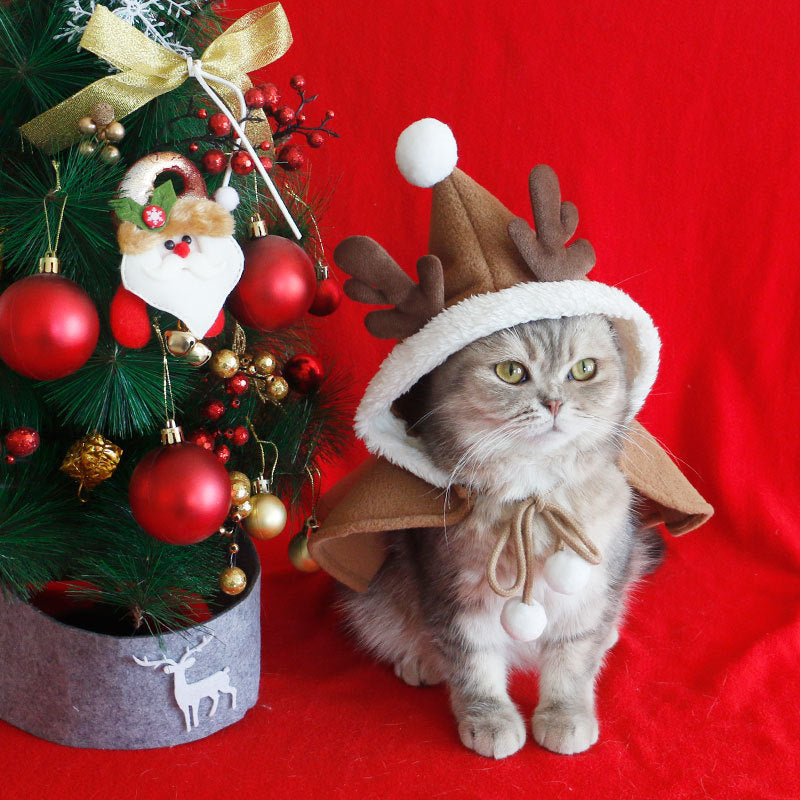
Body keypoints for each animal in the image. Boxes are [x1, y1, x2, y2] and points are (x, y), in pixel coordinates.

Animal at [338, 312, 664, 756]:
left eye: (584, 369)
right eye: (511, 372)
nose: (555, 403)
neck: (534, 495)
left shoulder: (590, 596)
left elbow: (572, 660)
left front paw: (564, 715)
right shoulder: (455, 595)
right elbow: (476, 665)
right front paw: (490, 719)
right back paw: (420, 660)